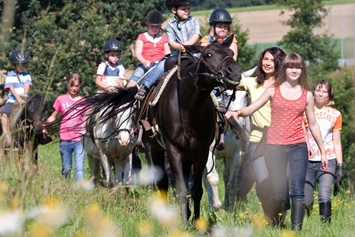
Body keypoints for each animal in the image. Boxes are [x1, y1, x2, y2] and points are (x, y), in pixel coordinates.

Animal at [79, 35, 243, 222]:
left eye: (231, 53)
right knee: (162, 183)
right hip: (153, 148)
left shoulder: (201, 152)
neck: (188, 106)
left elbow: (195, 190)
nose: (234, 71)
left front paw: (195, 221)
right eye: (208, 54)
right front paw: (183, 222)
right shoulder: (172, 149)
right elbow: (179, 188)